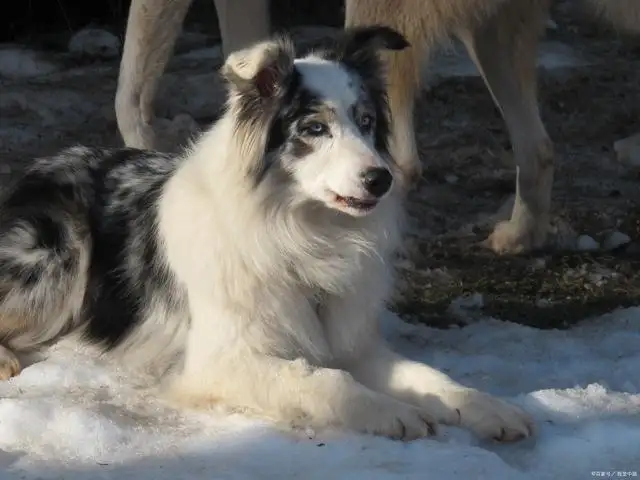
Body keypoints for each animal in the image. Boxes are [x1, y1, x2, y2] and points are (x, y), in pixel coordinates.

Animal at [0, 25, 532, 438]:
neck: (299, 233)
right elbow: (324, 381)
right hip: (57, 256)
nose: (381, 179)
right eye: (315, 129)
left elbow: (429, 376)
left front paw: (488, 407)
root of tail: (42, 165)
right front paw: (389, 411)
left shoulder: (351, 343)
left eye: (366, 122)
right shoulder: (220, 361)